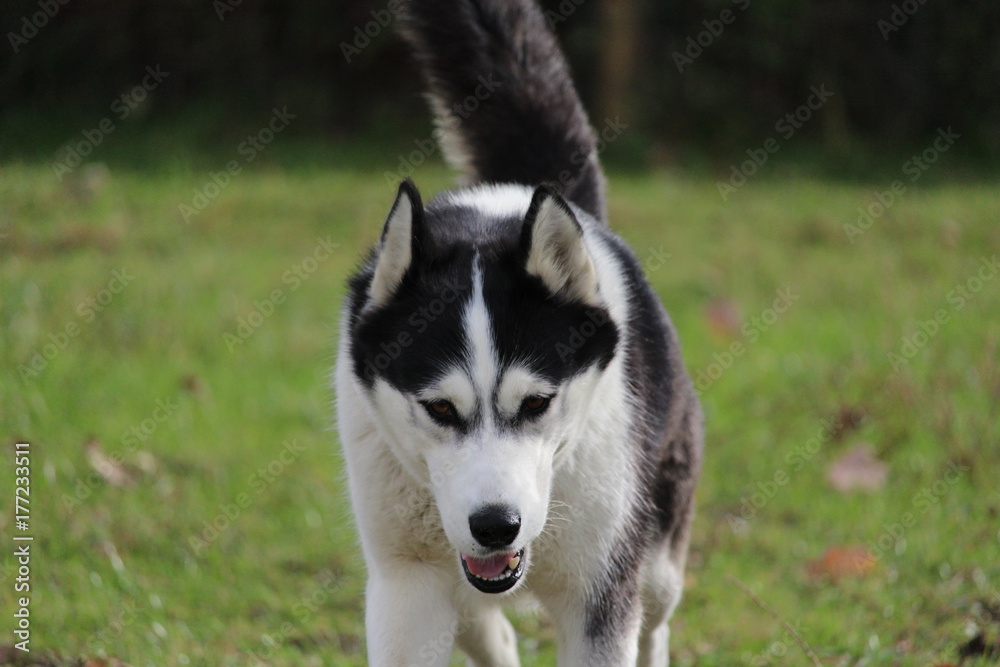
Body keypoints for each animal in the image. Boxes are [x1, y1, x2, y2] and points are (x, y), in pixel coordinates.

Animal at [336, 1, 704, 664]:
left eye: (536, 403)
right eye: (439, 409)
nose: (495, 525)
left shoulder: (601, 595)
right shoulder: (407, 588)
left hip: (659, 561)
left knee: (656, 621)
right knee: (490, 629)